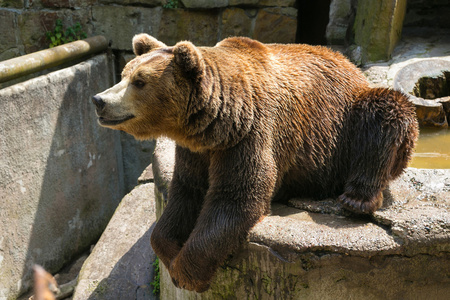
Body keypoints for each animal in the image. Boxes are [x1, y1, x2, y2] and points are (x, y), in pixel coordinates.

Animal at [91, 33, 418, 292]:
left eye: (140, 81)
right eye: (124, 73)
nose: (99, 100)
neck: (217, 124)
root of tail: (353, 68)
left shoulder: (251, 135)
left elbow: (236, 198)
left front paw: (186, 273)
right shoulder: (195, 150)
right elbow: (185, 192)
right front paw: (169, 250)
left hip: (347, 120)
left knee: (386, 111)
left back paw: (357, 198)